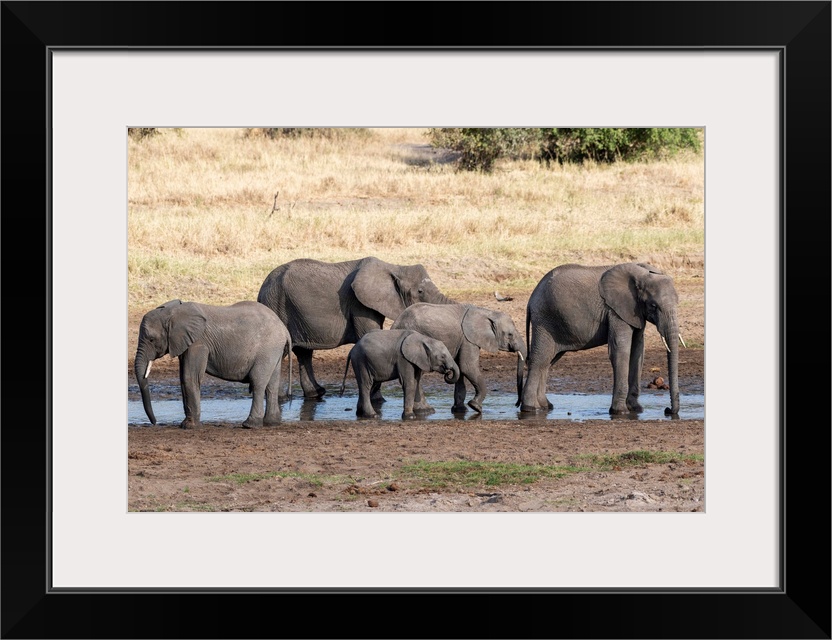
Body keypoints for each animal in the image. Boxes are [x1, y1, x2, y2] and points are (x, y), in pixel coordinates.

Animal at [135, 300, 294, 430]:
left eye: (151, 339)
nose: (154, 423)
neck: (173, 312)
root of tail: (284, 329)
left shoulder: (198, 343)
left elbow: (189, 377)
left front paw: (189, 427)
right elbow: (183, 378)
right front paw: (185, 424)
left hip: (267, 349)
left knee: (258, 382)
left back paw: (249, 425)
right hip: (274, 350)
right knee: (272, 384)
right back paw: (271, 423)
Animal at [260, 256, 456, 398]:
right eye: (420, 292)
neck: (394, 267)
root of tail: (262, 287)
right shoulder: (359, 304)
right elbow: (369, 334)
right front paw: (378, 399)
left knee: (304, 353)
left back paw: (316, 393)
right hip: (277, 305)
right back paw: (281, 398)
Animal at [392, 302, 528, 412]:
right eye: (510, 334)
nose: (516, 405)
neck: (486, 312)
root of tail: (395, 323)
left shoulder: (463, 340)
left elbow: (461, 369)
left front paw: (461, 410)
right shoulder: (468, 339)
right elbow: (467, 367)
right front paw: (475, 407)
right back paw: (425, 410)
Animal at [520, 262, 684, 418]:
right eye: (653, 305)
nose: (667, 410)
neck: (642, 274)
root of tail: (530, 300)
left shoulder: (635, 313)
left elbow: (637, 351)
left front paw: (636, 409)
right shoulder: (616, 311)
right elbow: (620, 350)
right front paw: (620, 412)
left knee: (548, 362)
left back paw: (544, 406)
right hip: (544, 321)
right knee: (540, 360)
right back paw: (531, 409)